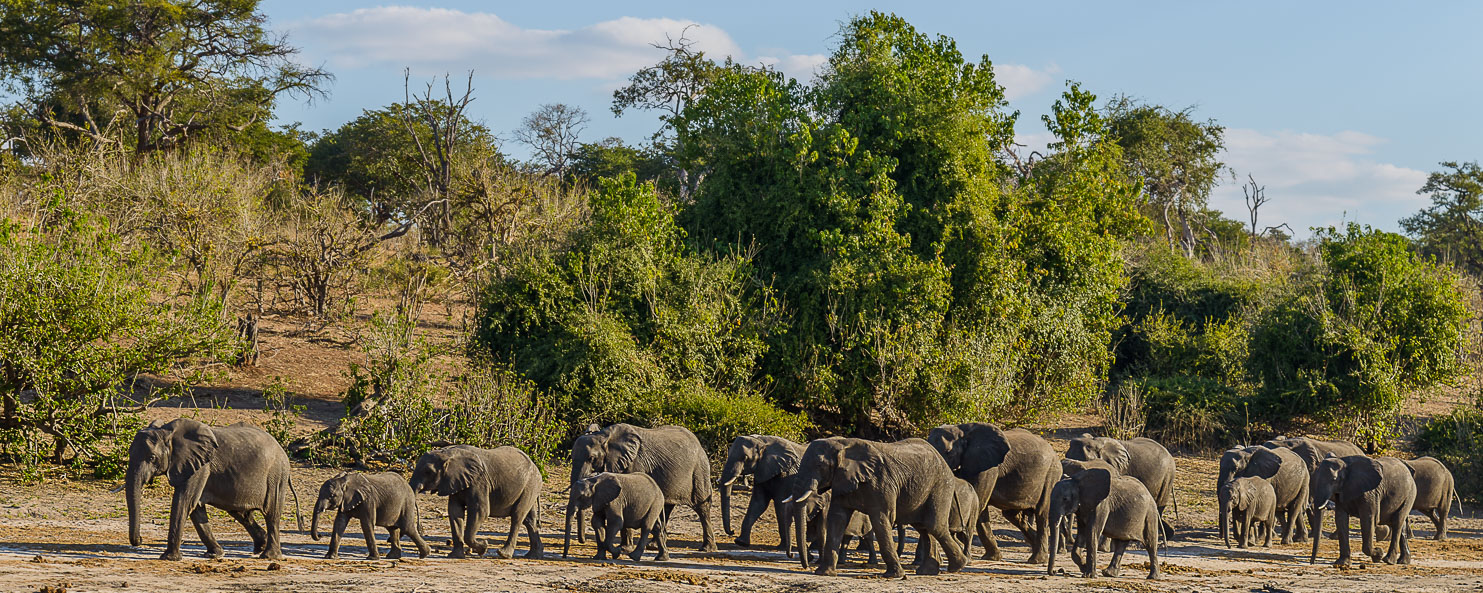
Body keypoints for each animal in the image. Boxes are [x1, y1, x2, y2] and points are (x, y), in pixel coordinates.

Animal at [126, 418, 302, 560]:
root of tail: (282, 450)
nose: (140, 540)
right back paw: (259, 548)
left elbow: (185, 501)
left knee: (272, 514)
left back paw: (268, 556)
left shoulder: (200, 467)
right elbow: (196, 507)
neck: (167, 432)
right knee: (241, 512)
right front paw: (215, 554)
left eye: (152, 458)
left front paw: (168, 558)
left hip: (276, 476)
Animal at [409, 444, 542, 560]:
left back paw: (504, 554)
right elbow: (455, 511)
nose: (421, 529)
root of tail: (536, 467)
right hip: (529, 487)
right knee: (529, 521)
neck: (447, 452)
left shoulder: (479, 481)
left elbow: (480, 511)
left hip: (530, 484)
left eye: (428, 471)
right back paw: (533, 556)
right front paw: (455, 556)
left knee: (517, 516)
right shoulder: (456, 481)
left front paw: (483, 548)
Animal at [563, 421, 714, 557]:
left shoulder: (635, 462)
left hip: (699, 469)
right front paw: (623, 548)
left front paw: (624, 549)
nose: (582, 541)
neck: (604, 435)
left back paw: (706, 548)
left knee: (702, 507)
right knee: (666, 507)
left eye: (591, 458)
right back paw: (653, 546)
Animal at [783, 435, 966, 578]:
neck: (843, 443)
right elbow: (837, 519)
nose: (806, 565)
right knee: (924, 528)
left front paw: (894, 576)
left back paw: (957, 566)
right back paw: (928, 571)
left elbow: (881, 520)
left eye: (820, 465)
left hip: (941, 485)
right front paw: (824, 573)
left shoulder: (881, 483)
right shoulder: (842, 481)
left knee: (934, 526)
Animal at [925, 421, 1055, 560]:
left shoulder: (987, 467)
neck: (963, 431)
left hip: (1051, 474)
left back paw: (1037, 560)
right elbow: (980, 507)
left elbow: (979, 501)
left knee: (1041, 513)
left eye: (948, 452)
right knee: (1012, 515)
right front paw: (992, 558)